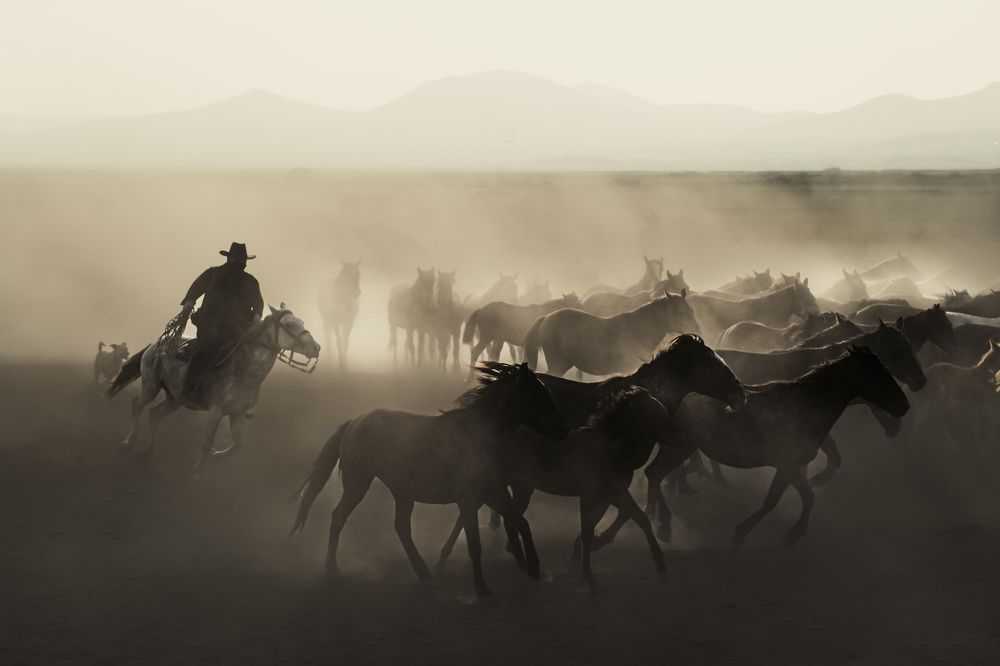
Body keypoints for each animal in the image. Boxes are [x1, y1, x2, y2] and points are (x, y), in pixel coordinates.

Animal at [107, 305, 321, 472]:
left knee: (154, 415)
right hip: (150, 386)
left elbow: (237, 446)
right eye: (289, 325)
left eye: (302, 322)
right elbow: (206, 441)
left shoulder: (237, 413)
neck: (245, 371)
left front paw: (214, 456)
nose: (316, 348)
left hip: (175, 398)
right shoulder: (216, 411)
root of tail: (155, 344)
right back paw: (128, 444)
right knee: (137, 406)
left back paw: (147, 451)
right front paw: (199, 473)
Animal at [290, 362, 569, 597]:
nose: (563, 429)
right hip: (358, 483)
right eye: (536, 394)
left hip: (402, 492)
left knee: (401, 528)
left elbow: (521, 523)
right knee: (339, 517)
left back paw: (424, 573)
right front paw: (482, 589)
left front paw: (533, 569)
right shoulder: (468, 500)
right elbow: (475, 543)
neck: (479, 435)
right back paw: (333, 569)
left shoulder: (494, 494)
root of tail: (355, 421)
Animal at [436, 388, 680, 585]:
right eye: (652, 414)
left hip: (518, 487)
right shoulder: (592, 495)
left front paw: (660, 562)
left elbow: (640, 518)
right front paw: (587, 574)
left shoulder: (616, 493)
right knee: (476, 516)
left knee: (503, 518)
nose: (677, 436)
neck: (608, 448)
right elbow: (588, 530)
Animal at [524, 291, 701, 377]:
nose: (697, 331)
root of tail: (546, 318)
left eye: (691, 310)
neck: (639, 327)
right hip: (557, 364)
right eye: (679, 312)